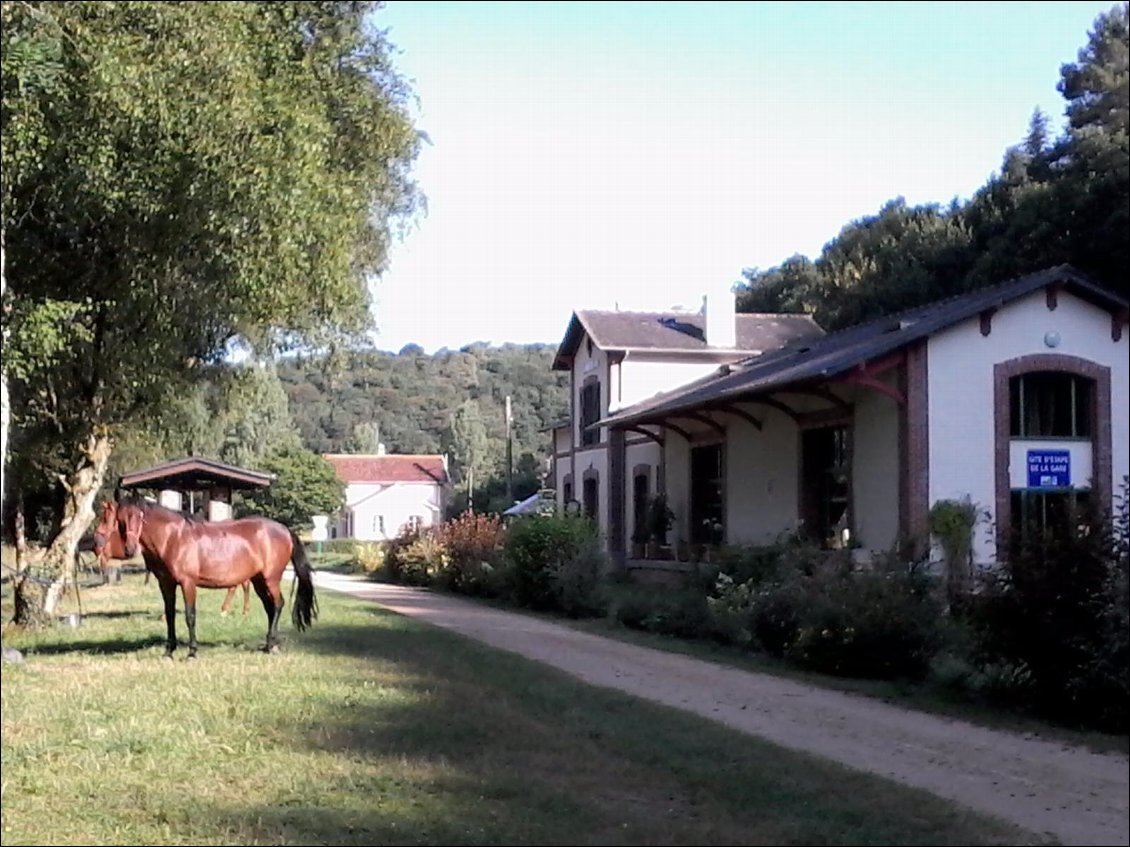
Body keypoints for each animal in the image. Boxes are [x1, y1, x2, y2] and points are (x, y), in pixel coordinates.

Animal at [93, 501, 318, 659]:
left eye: (139, 517)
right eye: (121, 520)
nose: (130, 548)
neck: (173, 538)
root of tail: (284, 529)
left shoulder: (188, 583)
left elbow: (190, 616)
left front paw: (192, 652)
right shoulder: (166, 584)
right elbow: (170, 615)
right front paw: (168, 651)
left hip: (271, 579)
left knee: (278, 605)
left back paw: (272, 644)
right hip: (258, 581)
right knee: (270, 608)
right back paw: (270, 645)